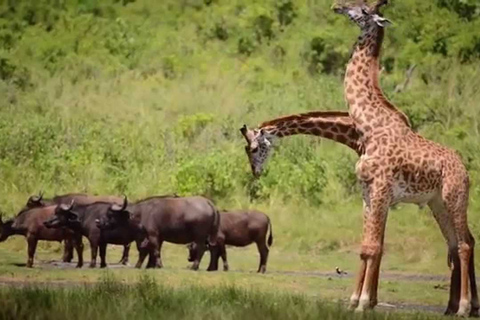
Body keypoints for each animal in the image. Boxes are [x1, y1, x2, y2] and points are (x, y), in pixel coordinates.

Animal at [332, 0, 478, 316]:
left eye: (364, 10)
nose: (338, 5)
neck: (368, 125)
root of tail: (465, 170)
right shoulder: (367, 193)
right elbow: (366, 247)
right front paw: (354, 301)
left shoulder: (381, 189)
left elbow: (373, 248)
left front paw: (363, 303)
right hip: (437, 204)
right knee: (458, 242)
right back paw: (459, 307)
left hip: (454, 197)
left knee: (464, 244)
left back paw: (463, 307)